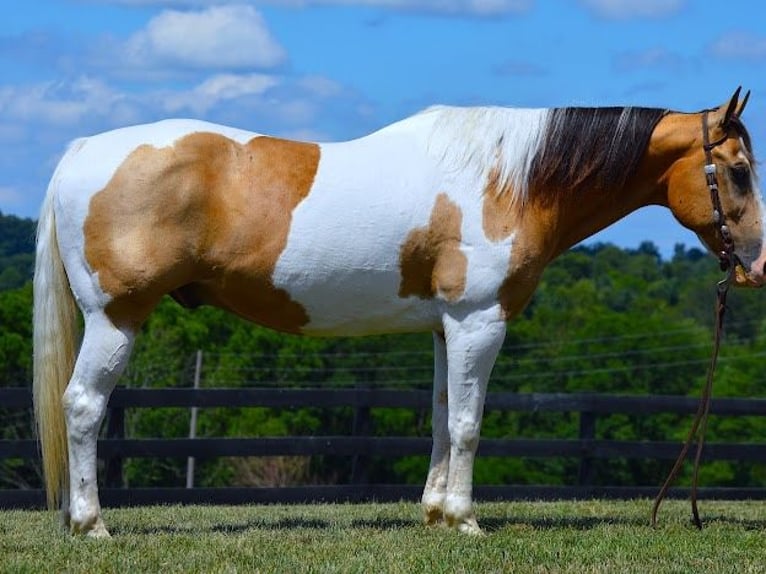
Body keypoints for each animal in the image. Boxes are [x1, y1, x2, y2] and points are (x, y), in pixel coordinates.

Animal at [34, 88, 766, 536]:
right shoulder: (480, 322)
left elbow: (442, 419)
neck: (509, 180)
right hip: (117, 318)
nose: (756, 265)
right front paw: (466, 519)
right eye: (736, 169)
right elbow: (469, 424)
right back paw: (91, 524)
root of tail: (81, 152)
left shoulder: (448, 327)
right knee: (82, 407)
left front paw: (438, 512)